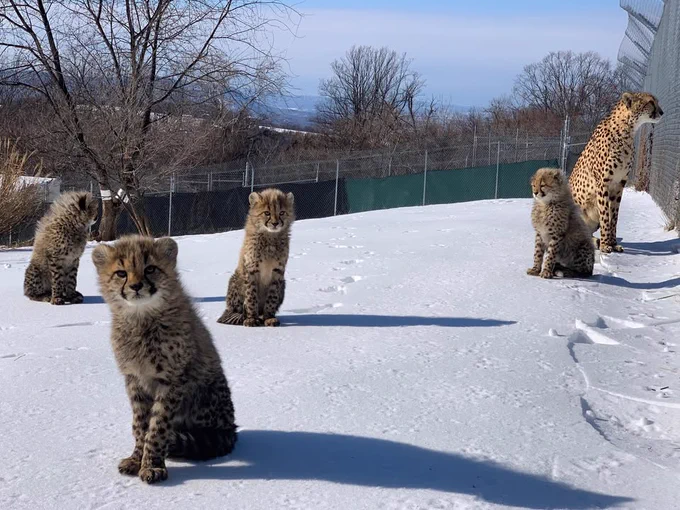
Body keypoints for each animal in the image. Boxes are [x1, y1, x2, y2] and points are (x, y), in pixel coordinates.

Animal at [92, 235, 237, 484]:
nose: (136, 286)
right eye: (121, 273)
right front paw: (136, 459)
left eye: (150, 268)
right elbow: (140, 425)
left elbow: (157, 426)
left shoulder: (171, 380)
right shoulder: (134, 379)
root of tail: (230, 429)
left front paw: (152, 465)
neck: (141, 318)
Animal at [217, 188, 295, 327]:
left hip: (283, 284)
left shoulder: (278, 272)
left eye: (282, 212)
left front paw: (269, 318)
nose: (275, 223)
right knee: (232, 313)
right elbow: (251, 297)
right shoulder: (251, 270)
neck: (270, 237)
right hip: (236, 280)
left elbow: (272, 297)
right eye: (267, 213)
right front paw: (252, 319)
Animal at [569, 92, 663, 253]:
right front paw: (606, 245)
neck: (628, 130)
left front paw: (612, 243)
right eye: (650, 102)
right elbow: (605, 216)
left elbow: (614, 216)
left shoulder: (619, 184)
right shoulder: (603, 184)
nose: (662, 112)